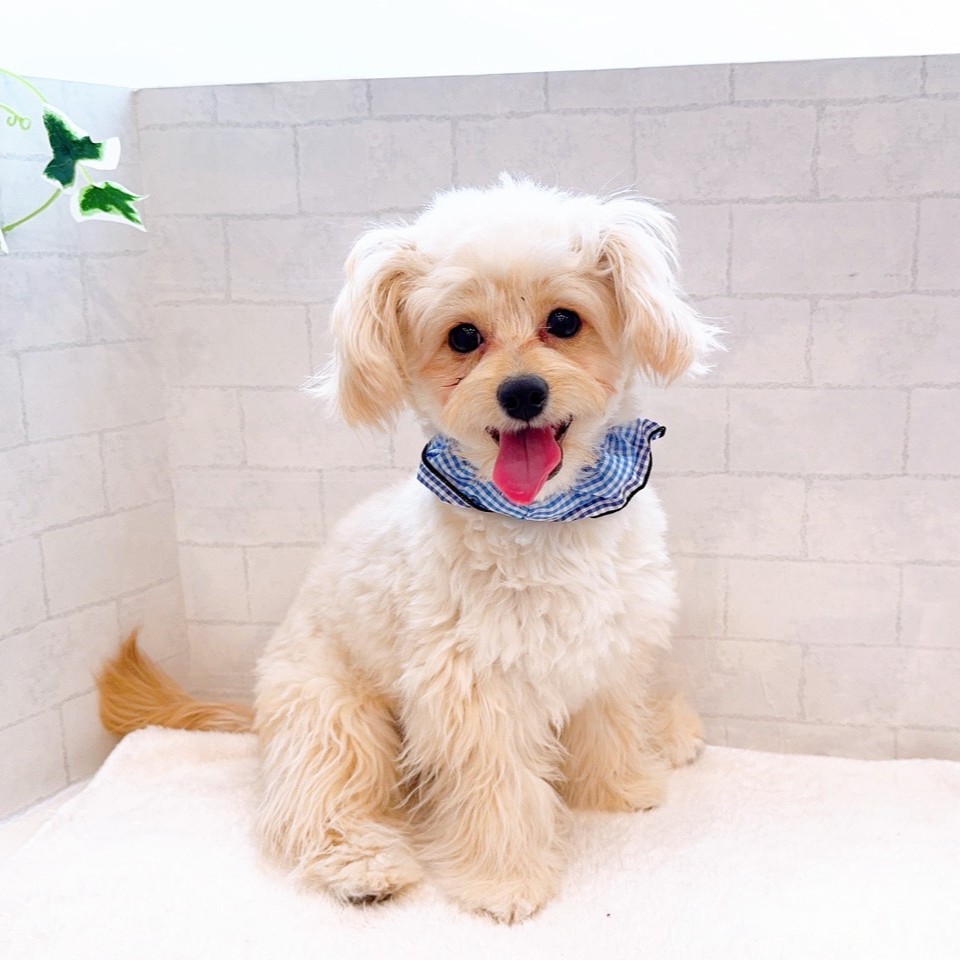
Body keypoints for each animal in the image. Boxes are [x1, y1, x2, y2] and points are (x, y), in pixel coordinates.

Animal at [99, 175, 718, 924]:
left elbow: (611, 728)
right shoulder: (472, 692)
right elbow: (498, 794)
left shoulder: (610, 652)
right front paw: (504, 882)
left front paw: (620, 789)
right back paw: (365, 867)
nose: (522, 392)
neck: (543, 518)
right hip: (336, 718)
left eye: (565, 321)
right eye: (464, 336)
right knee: (314, 803)